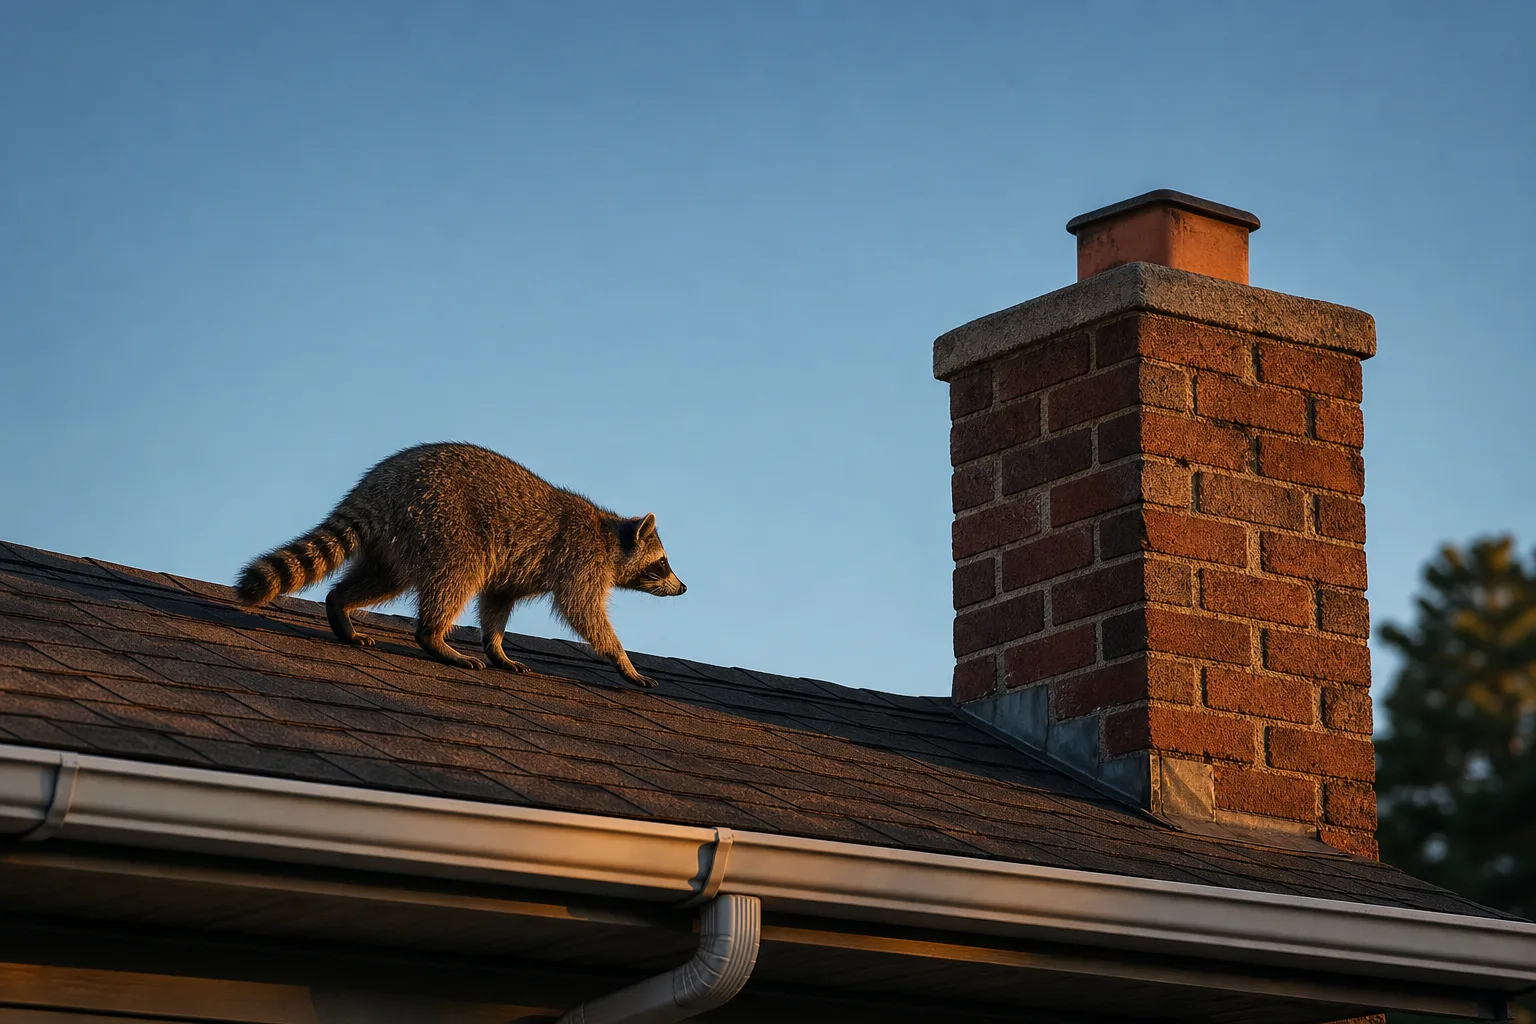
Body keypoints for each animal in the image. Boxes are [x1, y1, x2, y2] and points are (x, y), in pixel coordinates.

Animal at [234, 443, 685, 688]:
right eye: (662, 564)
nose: (683, 588)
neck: (611, 537)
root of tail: (378, 485)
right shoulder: (581, 560)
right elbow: (583, 610)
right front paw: (622, 659)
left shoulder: (521, 571)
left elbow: (498, 600)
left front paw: (496, 645)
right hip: (443, 520)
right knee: (457, 576)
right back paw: (433, 637)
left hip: (401, 536)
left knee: (385, 578)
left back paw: (340, 606)